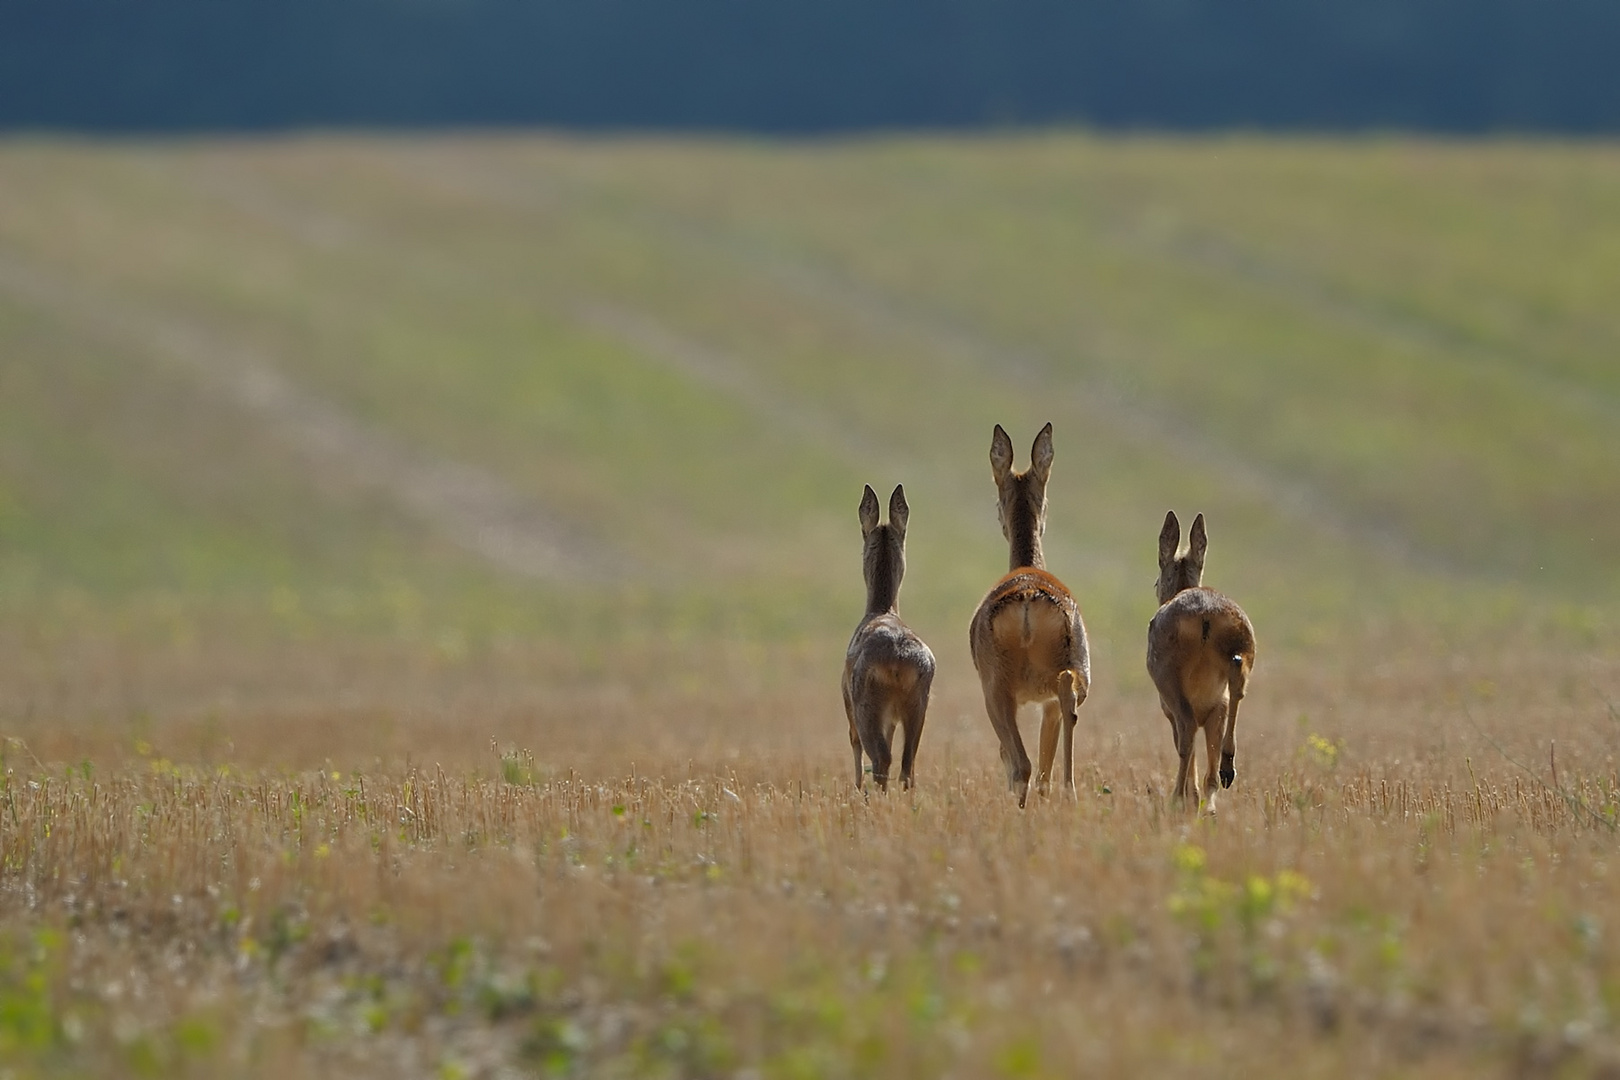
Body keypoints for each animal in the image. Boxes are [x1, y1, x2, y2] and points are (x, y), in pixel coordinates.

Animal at [842, 485, 933, 790]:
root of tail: (898, 661)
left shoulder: (847, 699)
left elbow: (854, 743)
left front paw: (856, 788)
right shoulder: (894, 718)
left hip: (866, 704)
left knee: (880, 757)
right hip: (918, 704)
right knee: (908, 766)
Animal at [965, 427, 1095, 806]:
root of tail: (1025, 602)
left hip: (995, 684)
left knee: (1019, 762)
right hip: (1070, 665)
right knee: (1067, 700)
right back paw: (1070, 792)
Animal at [1146, 514, 1257, 809]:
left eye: (1156, 582)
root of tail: (1205, 616)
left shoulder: (1169, 710)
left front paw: (1190, 796)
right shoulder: (1211, 709)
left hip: (1168, 678)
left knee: (1187, 731)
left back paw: (1177, 798)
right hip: (1245, 648)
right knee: (1236, 688)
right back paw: (1226, 773)